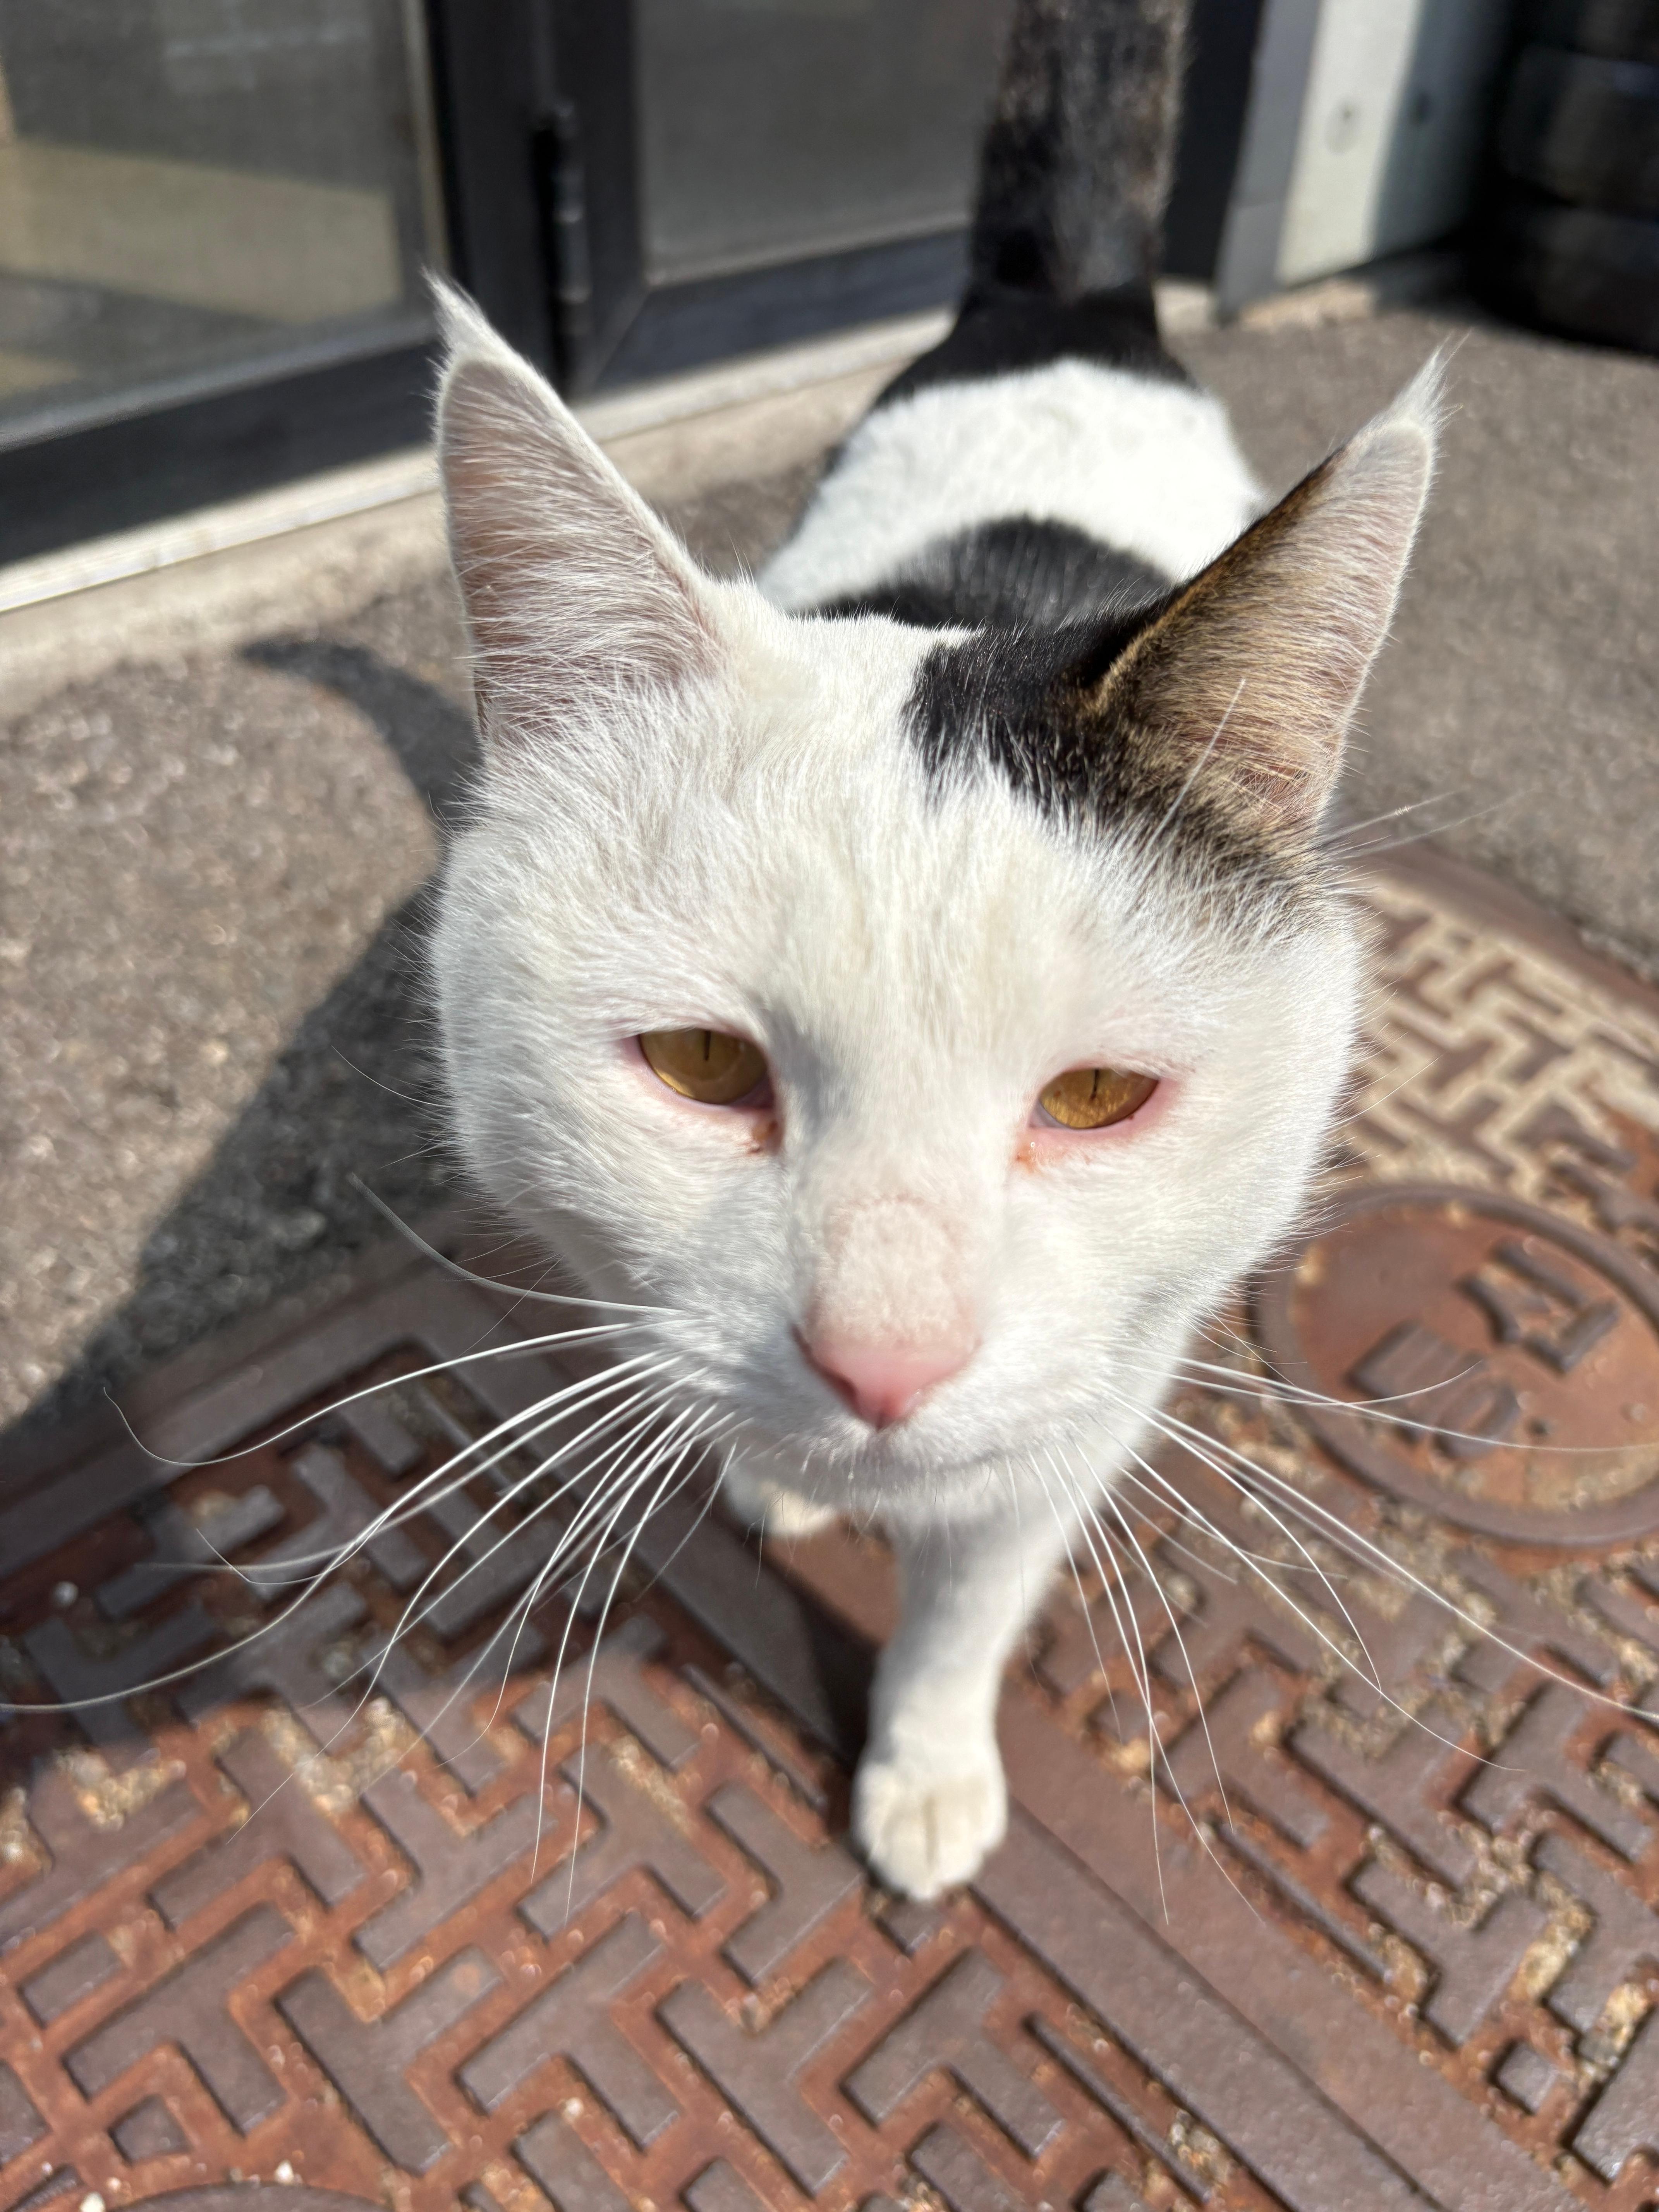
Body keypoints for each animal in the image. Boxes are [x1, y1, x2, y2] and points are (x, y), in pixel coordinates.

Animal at [427, 0, 1438, 1899]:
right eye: (699, 1066)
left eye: (1101, 1094)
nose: (882, 1365)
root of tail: (1069, 303)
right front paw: (777, 1473)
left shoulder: (1086, 1403)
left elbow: (973, 1593)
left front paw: (925, 1763)